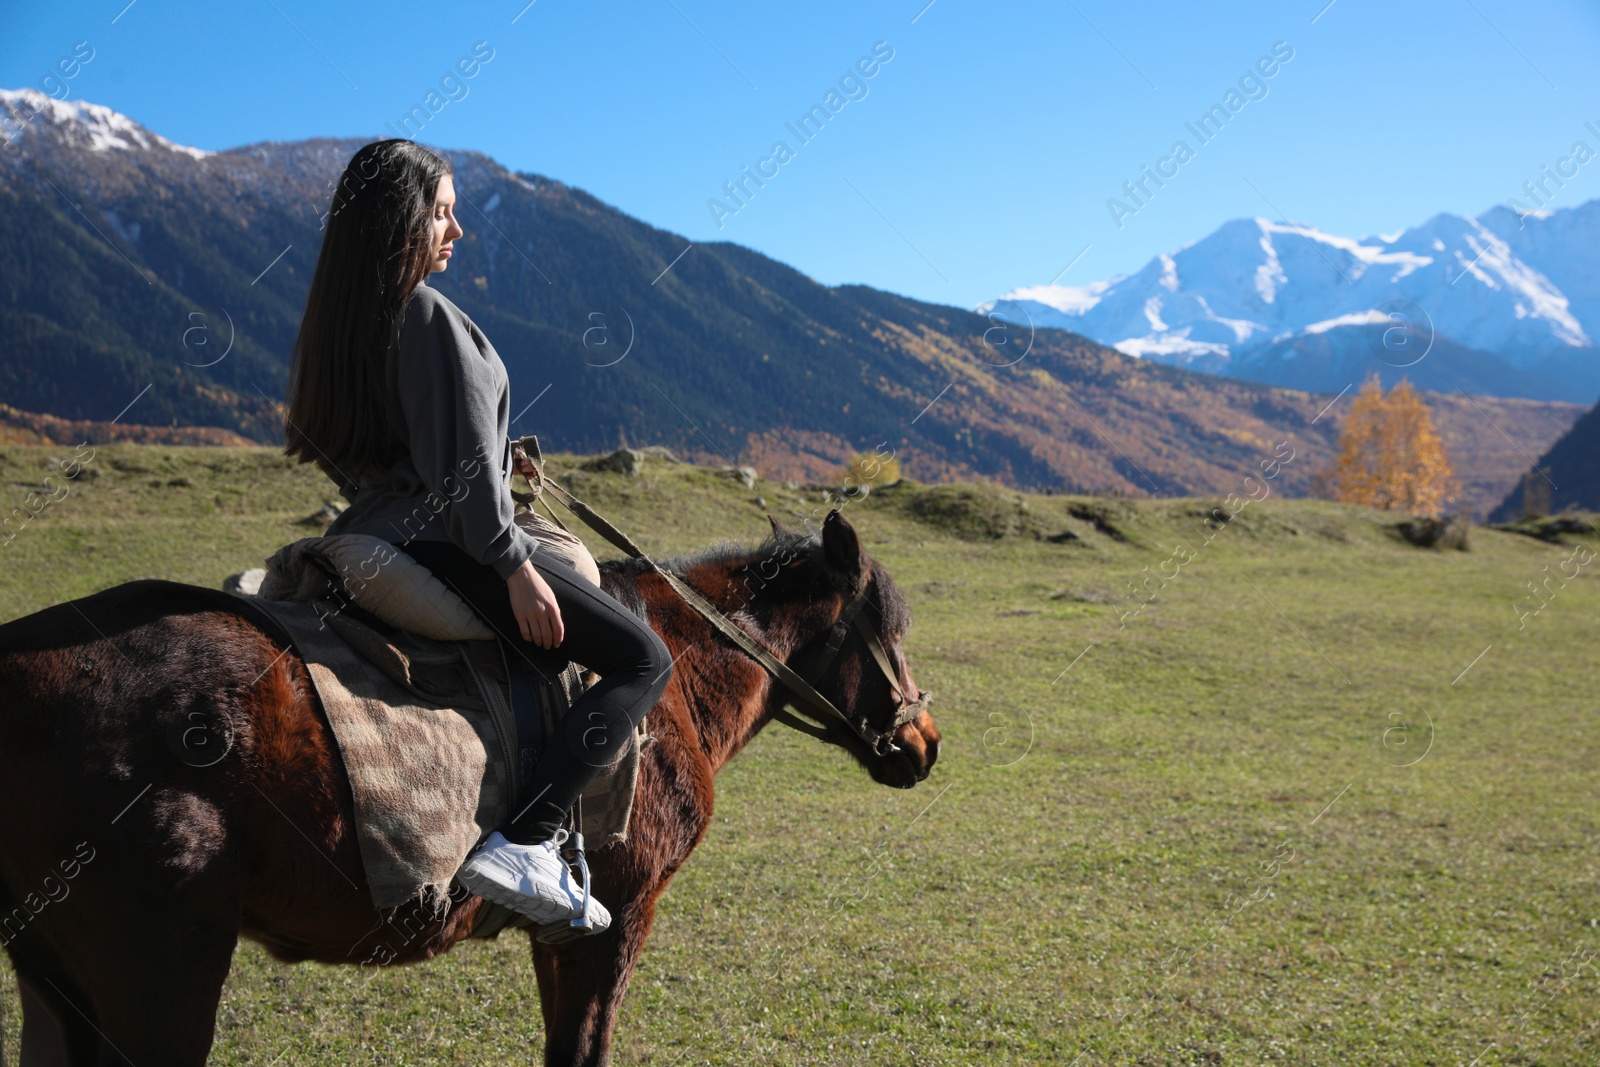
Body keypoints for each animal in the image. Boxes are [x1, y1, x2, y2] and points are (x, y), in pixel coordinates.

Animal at [0, 511, 934, 1062]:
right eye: (890, 629)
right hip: (161, 972)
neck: (678, 672)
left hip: (56, 977)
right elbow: (584, 1049)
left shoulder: (565, 933)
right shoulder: (623, 914)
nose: (925, 743)